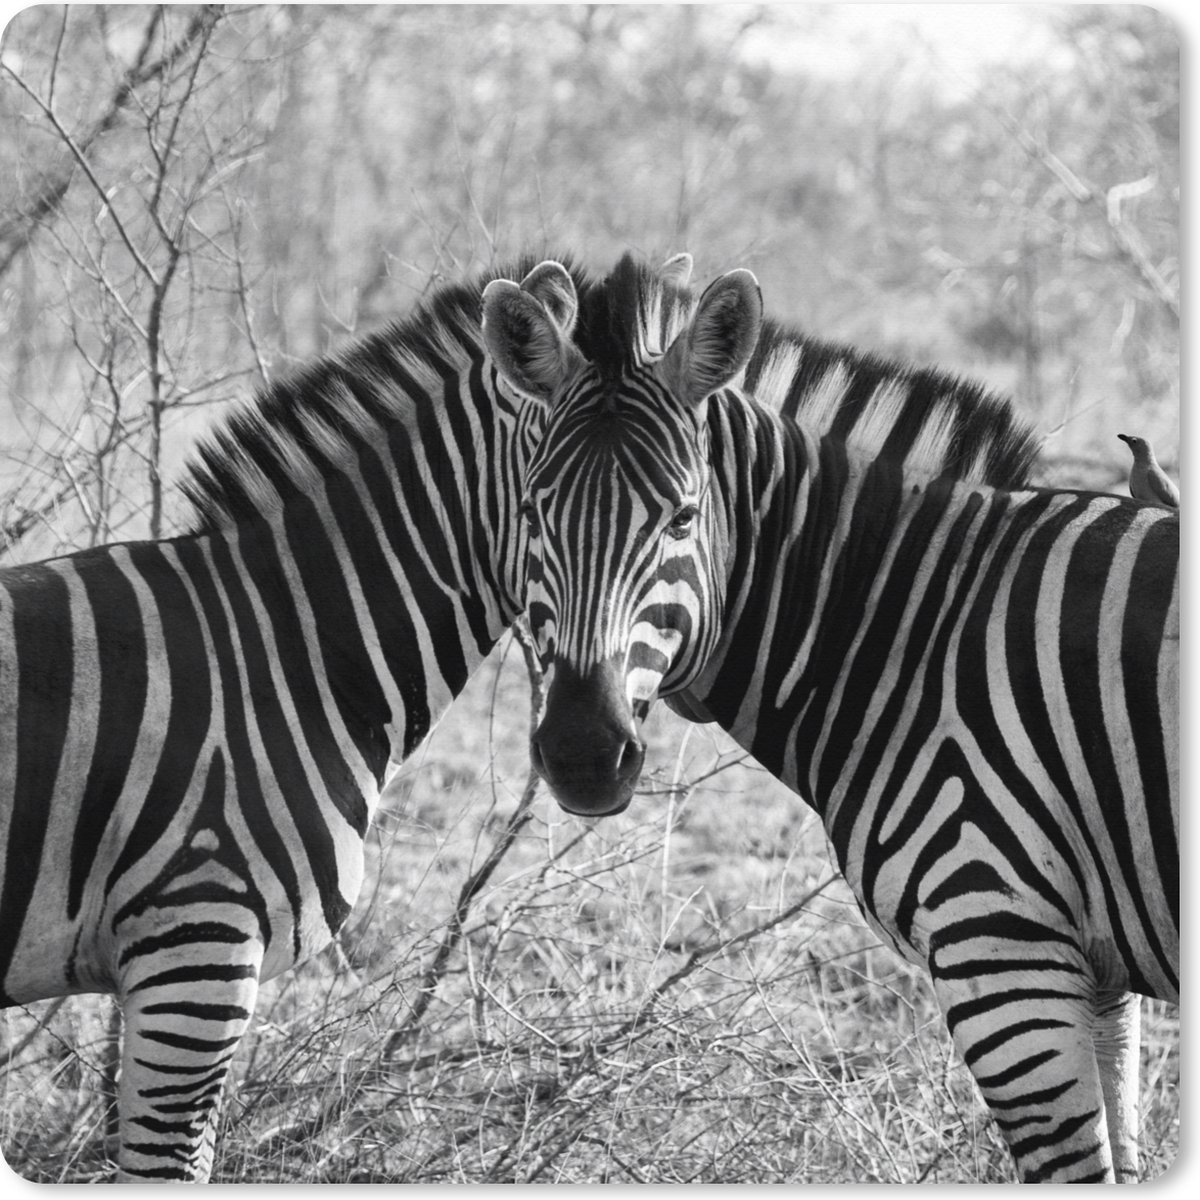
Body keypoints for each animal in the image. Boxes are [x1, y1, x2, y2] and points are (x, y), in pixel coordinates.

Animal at [480, 253, 1179, 1183]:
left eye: (682, 517)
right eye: (530, 515)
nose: (582, 754)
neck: (918, 625)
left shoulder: (1000, 947)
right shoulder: (1100, 973)